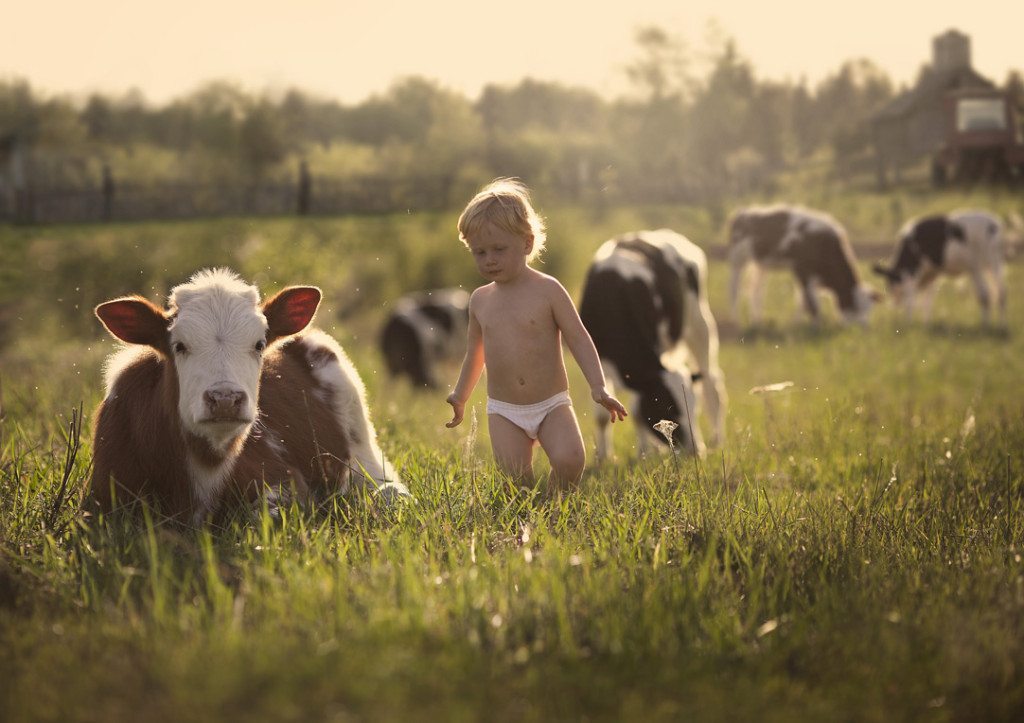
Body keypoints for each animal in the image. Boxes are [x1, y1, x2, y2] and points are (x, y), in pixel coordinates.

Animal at [89, 266, 407, 524]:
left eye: (259, 344)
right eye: (179, 346)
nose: (225, 399)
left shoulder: (284, 479)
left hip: (363, 445)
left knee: (388, 488)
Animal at [577, 229, 729, 456]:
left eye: (694, 409)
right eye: (666, 407)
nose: (696, 451)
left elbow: (636, 412)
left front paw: (644, 453)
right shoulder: (597, 358)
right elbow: (605, 416)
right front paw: (604, 457)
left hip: (699, 323)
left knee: (712, 386)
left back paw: (717, 440)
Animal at [729, 203, 880, 325]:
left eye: (869, 309)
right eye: (854, 305)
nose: (864, 328)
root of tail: (744, 211)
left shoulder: (812, 277)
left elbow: (802, 301)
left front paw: (798, 324)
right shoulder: (802, 270)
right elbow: (812, 304)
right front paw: (816, 326)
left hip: (762, 265)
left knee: (757, 291)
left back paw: (757, 320)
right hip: (737, 258)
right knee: (734, 289)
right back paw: (735, 320)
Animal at [872, 208, 1007, 321]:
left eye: (890, 282)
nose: (893, 304)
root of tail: (992, 224)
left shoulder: (912, 274)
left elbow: (911, 300)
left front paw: (908, 322)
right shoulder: (932, 273)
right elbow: (927, 300)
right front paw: (926, 324)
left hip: (976, 266)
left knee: (985, 295)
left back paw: (986, 325)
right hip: (995, 263)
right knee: (1001, 293)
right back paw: (1002, 326)